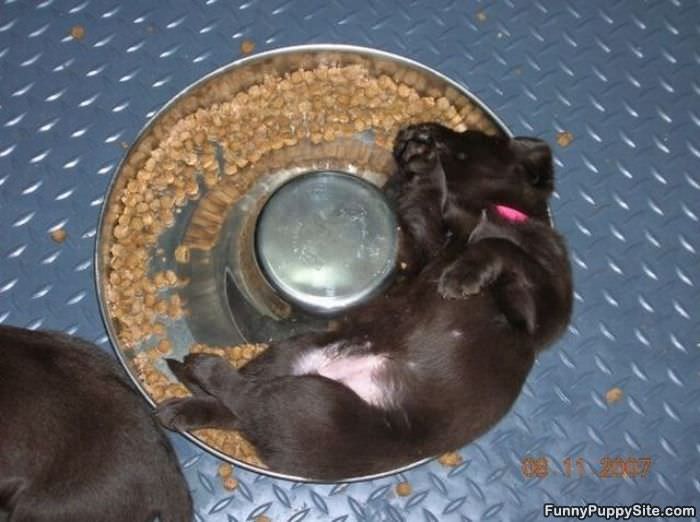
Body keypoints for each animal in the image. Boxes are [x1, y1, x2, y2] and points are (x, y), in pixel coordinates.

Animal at [159, 123, 576, 480]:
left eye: (471, 135)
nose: (415, 129)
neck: (482, 213)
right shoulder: (424, 252)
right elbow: (433, 209)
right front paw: (422, 164)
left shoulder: (542, 313)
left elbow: (504, 248)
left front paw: (463, 274)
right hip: (292, 356)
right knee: (243, 401)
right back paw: (188, 401)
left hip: (319, 408)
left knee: (246, 402)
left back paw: (201, 374)